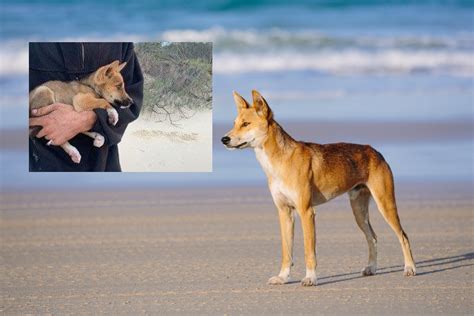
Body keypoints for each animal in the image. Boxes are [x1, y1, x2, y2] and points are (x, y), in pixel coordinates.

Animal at [222, 90, 414, 286]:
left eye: (246, 124)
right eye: (235, 124)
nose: (224, 139)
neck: (280, 161)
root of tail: (376, 152)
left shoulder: (306, 212)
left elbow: (309, 250)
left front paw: (310, 277)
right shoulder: (284, 212)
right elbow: (286, 251)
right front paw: (283, 277)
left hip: (385, 205)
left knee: (403, 236)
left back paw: (410, 268)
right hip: (359, 211)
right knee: (373, 237)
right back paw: (372, 268)